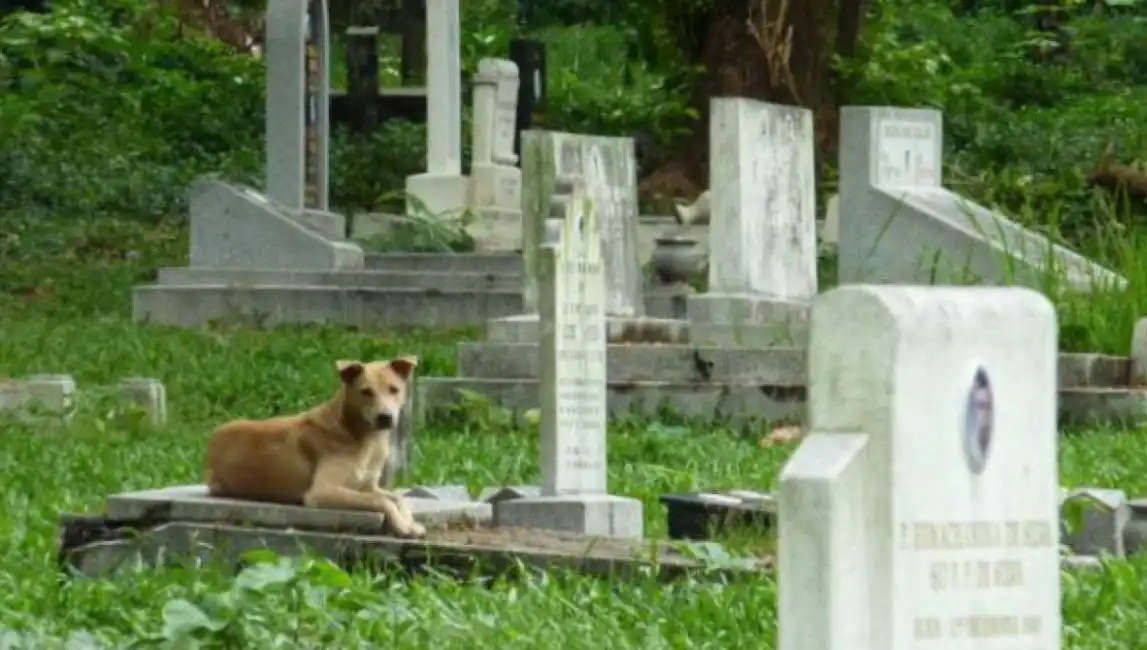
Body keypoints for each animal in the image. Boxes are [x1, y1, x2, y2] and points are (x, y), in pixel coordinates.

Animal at [203, 355, 426, 538]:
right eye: (366, 392)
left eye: (394, 389)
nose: (385, 417)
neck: (363, 437)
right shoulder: (322, 491)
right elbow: (379, 501)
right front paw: (402, 526)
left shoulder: (368, 486)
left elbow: (397, 497)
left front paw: (410, 523)